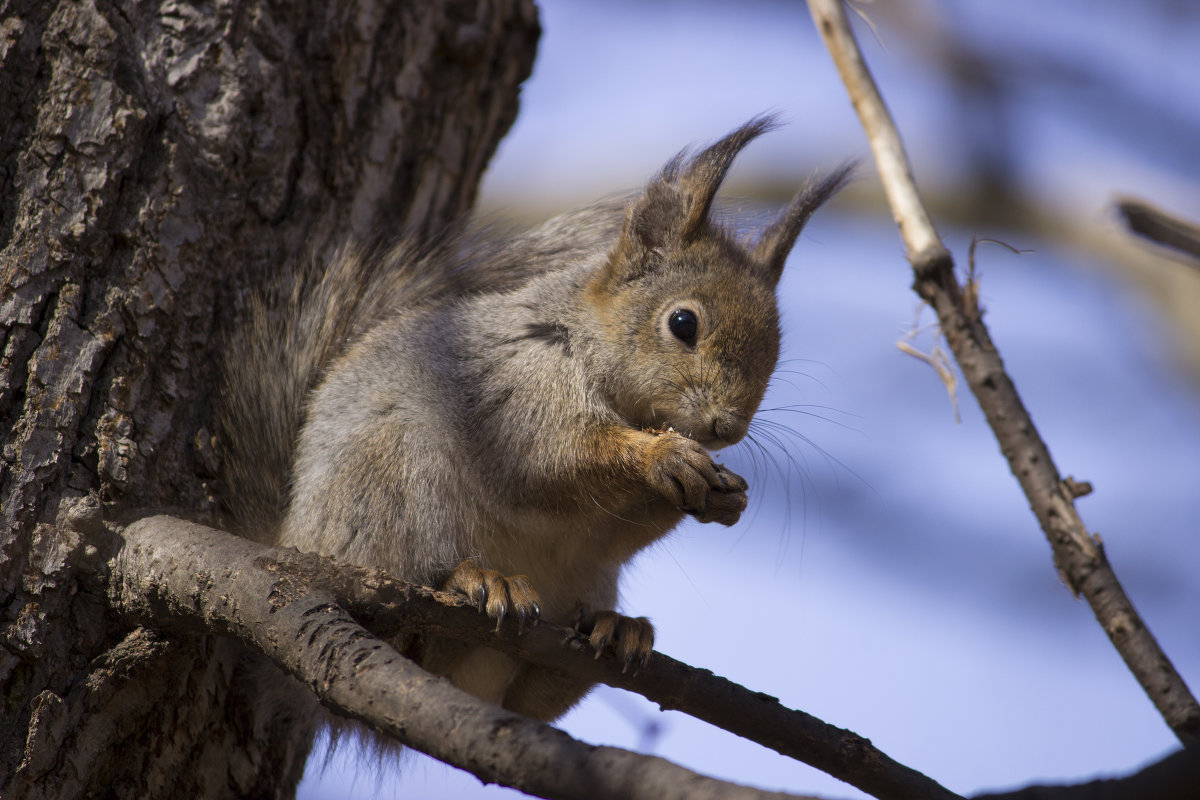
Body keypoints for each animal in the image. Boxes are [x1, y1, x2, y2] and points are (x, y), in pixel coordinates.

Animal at [218, 117, 854, 724]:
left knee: (525, 701)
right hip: (385, 493)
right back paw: (475, 582)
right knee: (404, 628)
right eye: (682, 323)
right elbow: (548, 461)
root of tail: (291, 536)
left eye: (776, 350)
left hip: (575, 587)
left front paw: (727, 495)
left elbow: (614, 526)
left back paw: (614, 629)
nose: (727, 429)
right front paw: (661, 456)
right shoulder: (517, 388)